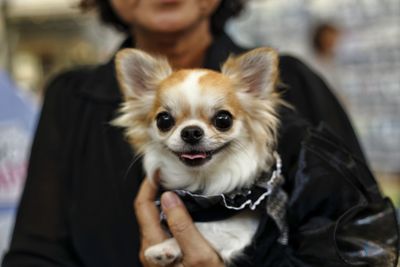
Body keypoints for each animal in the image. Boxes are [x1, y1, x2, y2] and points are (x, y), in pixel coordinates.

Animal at [112, 47, 282, 266]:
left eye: (223, 120)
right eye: (164, 120)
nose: (191, 131)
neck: (200, 183)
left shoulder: (240, 231)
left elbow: (206, 230)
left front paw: (166, 247)